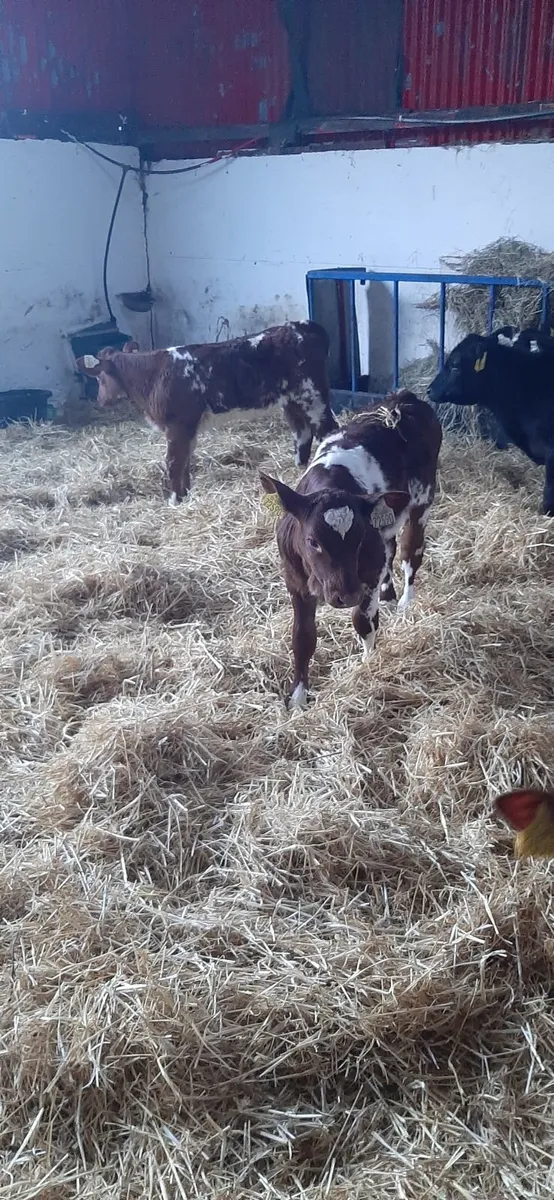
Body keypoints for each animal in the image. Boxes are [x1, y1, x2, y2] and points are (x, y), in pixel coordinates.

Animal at [75, 322, 338, 504]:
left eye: (100, 378)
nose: (100, 400)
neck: (154, 376)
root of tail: (302, 325)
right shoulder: (188, 428)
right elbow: (185, 461)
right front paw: (185, 494)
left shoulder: (177, 425)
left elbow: (173, 462)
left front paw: (173, 500)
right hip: (293, 401)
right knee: (302, 433)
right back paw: (299, 469)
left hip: (313, 395)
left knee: (329, 431)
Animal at [261, 390, 442, 708]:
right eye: (313, 541)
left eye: (358, 538)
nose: (346, 596)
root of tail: (403, 397)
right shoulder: (295, 582)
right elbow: (302, 638)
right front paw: (297, 697)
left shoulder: (367, 573)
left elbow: (363, 621)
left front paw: (368, 665)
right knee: (392, 548)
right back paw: (389, 596)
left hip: (422, 501)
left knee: (410, 554)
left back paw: (405, 601)